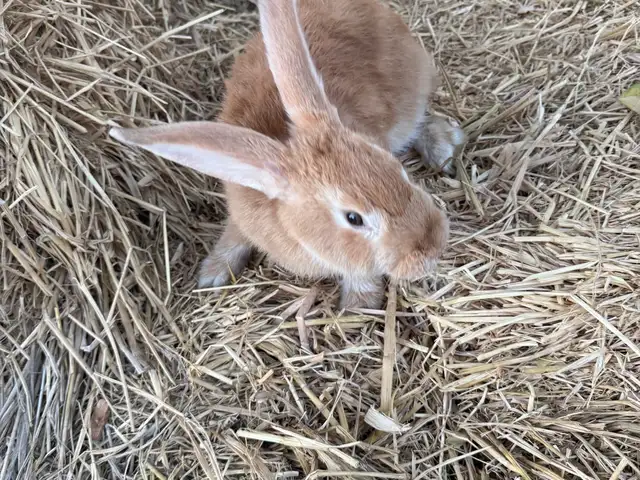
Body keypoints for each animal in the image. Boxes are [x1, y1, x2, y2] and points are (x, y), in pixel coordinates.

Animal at [109, 0, 465, 309]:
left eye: (398, 170)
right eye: (354, 218)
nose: (432, 250)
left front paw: (358, 306)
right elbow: (234, 235)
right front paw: (212, 274)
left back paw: (443, 147)